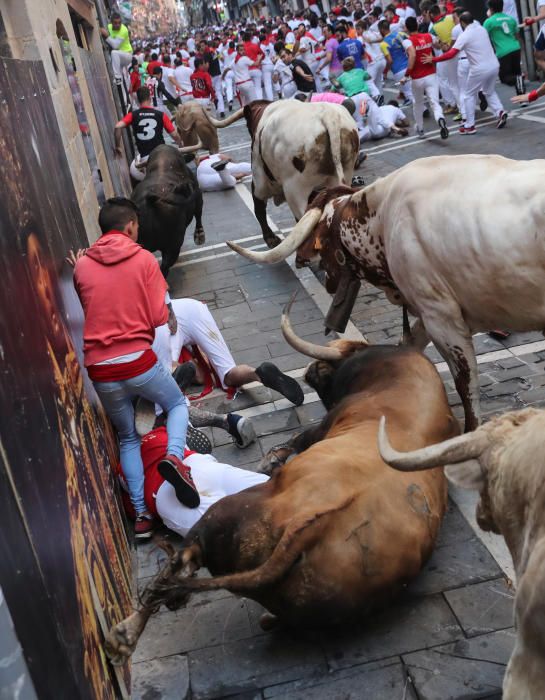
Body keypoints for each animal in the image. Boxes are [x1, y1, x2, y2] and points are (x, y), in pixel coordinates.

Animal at [104, 300, 456, 660]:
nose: (312, 372)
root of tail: (308, 528)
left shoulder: (326, 423)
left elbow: (298, 438)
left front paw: (271, 459)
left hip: (225, 512)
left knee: (180, 562)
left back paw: (125, 632)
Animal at [202, 99, 360, 249]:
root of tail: (327, 114)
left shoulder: (259, 181)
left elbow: (258, 209)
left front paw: (271, 239)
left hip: (295, 189)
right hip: (342, 175)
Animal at [226, 154, 545, 432]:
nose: (321, 276)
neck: (383, 219)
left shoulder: (442, 318)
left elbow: (467, 386)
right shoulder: (439, 313)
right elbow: (408, 345)